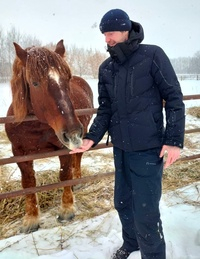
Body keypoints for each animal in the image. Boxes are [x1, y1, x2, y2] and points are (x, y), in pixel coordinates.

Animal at [4, 39, 94, 235]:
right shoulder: (20, 153)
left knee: (78, 157)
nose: (73, 133)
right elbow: (28, 183)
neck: (36, 125)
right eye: (35, 83)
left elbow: (65, 175)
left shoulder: (63, 148)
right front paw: (31, 219)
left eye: (67, 78)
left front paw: (66, 210)